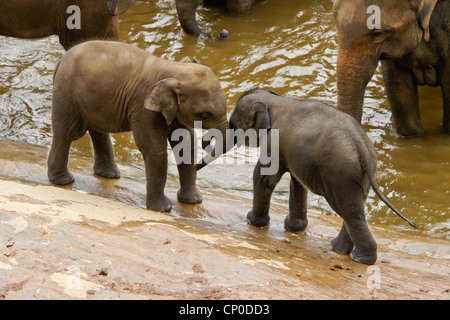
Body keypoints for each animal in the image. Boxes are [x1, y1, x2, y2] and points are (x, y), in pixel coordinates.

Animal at [49, 40, 230, 212]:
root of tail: (60, 61)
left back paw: (110, 175)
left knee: (97, 131)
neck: (172, 69)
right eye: (205, 114)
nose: (208, 140)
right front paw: (163, 209)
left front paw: (194, 201)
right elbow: (154, 149)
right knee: (67, 134)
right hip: (67, 94)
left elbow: (186, 144)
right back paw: (63, 181)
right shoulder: (143, 108)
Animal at [230, 89, 416, 264]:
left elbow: (265, 178)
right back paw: (340, 249)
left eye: (233, 124)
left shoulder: (273, 143)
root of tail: (360, 146)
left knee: (348, 211)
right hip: (359, 175)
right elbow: (296, 182)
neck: (275, 101)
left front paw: (252, 221)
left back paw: (359, 258)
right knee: (354, 210)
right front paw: (293, 228)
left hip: (339, 173)